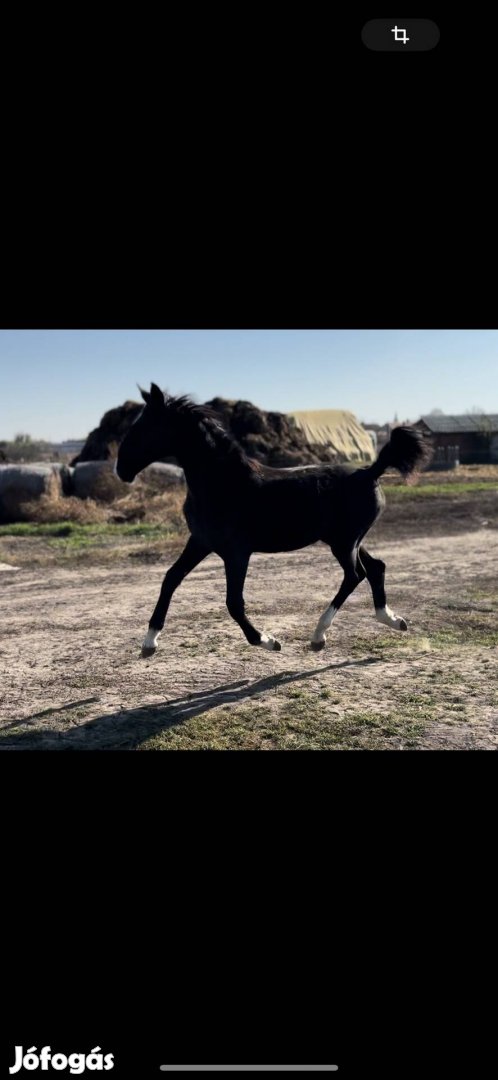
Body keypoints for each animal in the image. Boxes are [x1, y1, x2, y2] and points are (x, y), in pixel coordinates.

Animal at [114, 388, 429, 656]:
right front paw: (149, 642)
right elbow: (170, 578)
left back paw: (318, 635)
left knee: (355, 575)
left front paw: (267, 640)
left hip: (344, 542)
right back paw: (392, 620)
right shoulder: (201, 542)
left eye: (144, 427)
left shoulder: (237, 553)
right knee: (376, 567)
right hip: (347, 540)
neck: (223, 483)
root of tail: (371, 472)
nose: (120, 469)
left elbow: (234, 603)